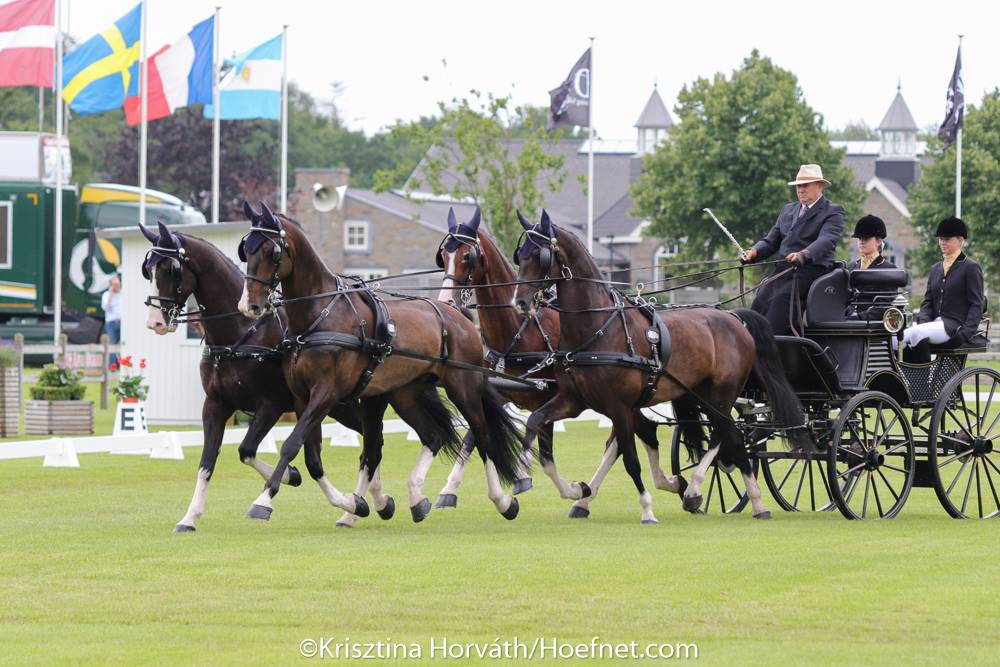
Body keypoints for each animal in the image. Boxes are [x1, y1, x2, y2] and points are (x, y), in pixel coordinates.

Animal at [141, 217, 453, 530]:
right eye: (148, 270)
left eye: (171, 269)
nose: (155, 322)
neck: (243, 331)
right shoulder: (216, 405)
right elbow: (208, 461)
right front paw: (190, 517)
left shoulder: (272, 404)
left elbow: (248, 449)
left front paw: (287, 481)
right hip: (356, 405)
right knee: (377, 444)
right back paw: (374, 502)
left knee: (379, 444)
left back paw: (369, 502)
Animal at [237, 203, 525, 522]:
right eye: (246, 249)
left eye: (272, 252)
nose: (249, 305)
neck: (319, 316)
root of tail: (458, 315)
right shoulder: (302, 398)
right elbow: (311, 457)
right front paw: (353, 504)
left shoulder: (326, 394)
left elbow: (290, 445)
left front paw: (263, 500)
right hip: (404, 394)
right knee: (432, 436)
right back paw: (415, 497)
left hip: (463, 387)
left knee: (482, 436)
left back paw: (502, 501)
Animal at [434, 207, 682, 517]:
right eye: (443, 256)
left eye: (467, 256)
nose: (446, 301)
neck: (519, 329)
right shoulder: (498, 393)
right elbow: (474, 436)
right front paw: (448, 490)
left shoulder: (548, 397)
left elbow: (544, 449)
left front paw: (532, 479)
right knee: (634, 434)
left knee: (622, 439)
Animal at [511, 211, 813, 522]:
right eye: (519, 256)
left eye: (539, 255)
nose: (519, 302)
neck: (598, 327)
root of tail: (732, 316)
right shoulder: (574, 400)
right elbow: (536, 424)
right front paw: (551, 484)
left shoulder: (619, 406)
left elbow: (631, 460)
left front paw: (647, 508)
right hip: (700, 394)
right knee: (725, 436)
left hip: (721, 396)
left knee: (728, 436)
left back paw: (732, 497)